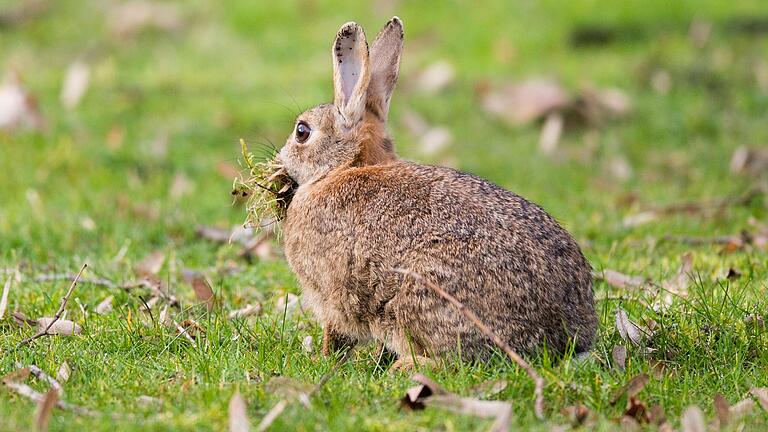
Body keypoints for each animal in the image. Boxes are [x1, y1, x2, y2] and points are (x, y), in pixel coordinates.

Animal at [272, 18, 596, 366]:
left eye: (301, 131)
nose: (280, 159)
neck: (343, 168)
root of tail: (560, 340)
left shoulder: (331, 292)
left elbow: (335, 333)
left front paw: (322, 360)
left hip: (422, 298)